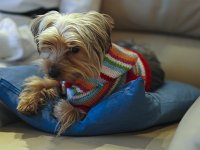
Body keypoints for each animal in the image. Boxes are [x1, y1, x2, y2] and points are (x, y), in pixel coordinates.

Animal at [17, 10, 164, 135]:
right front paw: (28, 101)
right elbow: (40, 83)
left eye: (75, 49)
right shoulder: (60, 81)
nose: (52, 72)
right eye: (48, 44)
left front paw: (55, 102)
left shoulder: (81, 106)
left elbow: (64, 109)